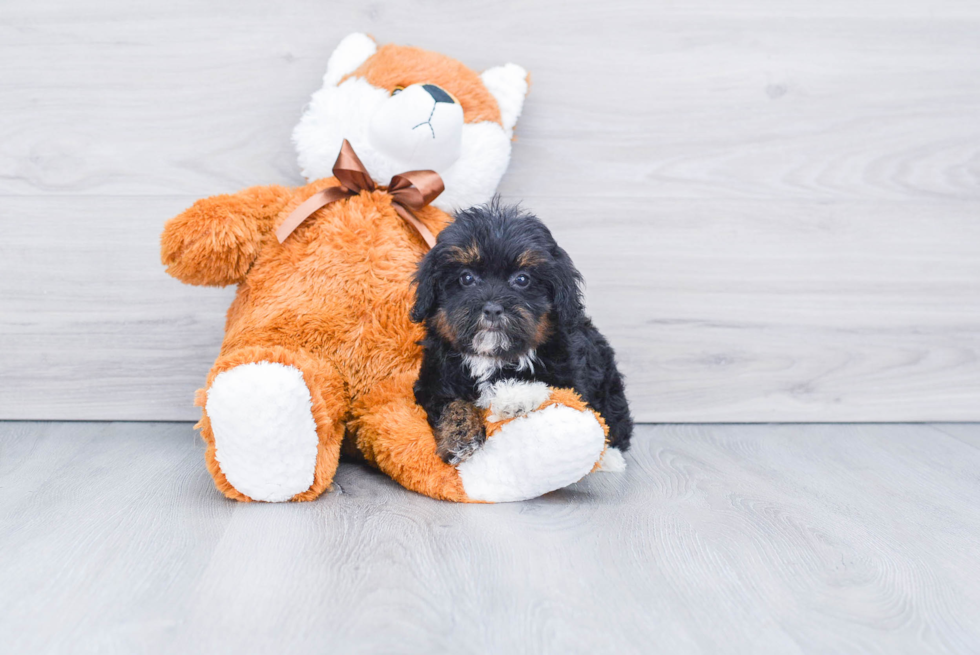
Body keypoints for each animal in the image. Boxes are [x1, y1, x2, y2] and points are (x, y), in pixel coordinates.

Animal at [408, 201, 632, 466]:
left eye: (522, 279)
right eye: (466, 277)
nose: (492, 309)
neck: (491, 358)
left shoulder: (570, 380)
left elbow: (551, 391)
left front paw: (514, 397)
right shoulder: (433, 383)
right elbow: (453, 404)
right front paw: (460, 438)